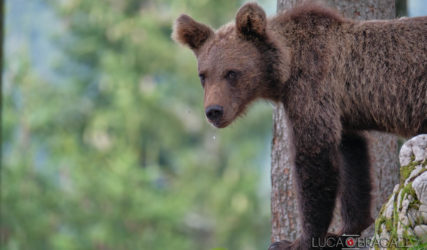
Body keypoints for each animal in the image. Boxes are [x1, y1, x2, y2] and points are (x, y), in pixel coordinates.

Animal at [172, 1, 426, 250]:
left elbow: (315, 157)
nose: (213, 111)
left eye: (231, 72)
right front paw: (341, 231)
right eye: (203, 75)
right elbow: (352, 158)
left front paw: (295, 241)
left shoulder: (312, 88)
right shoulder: (341, 114)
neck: (286, 69)